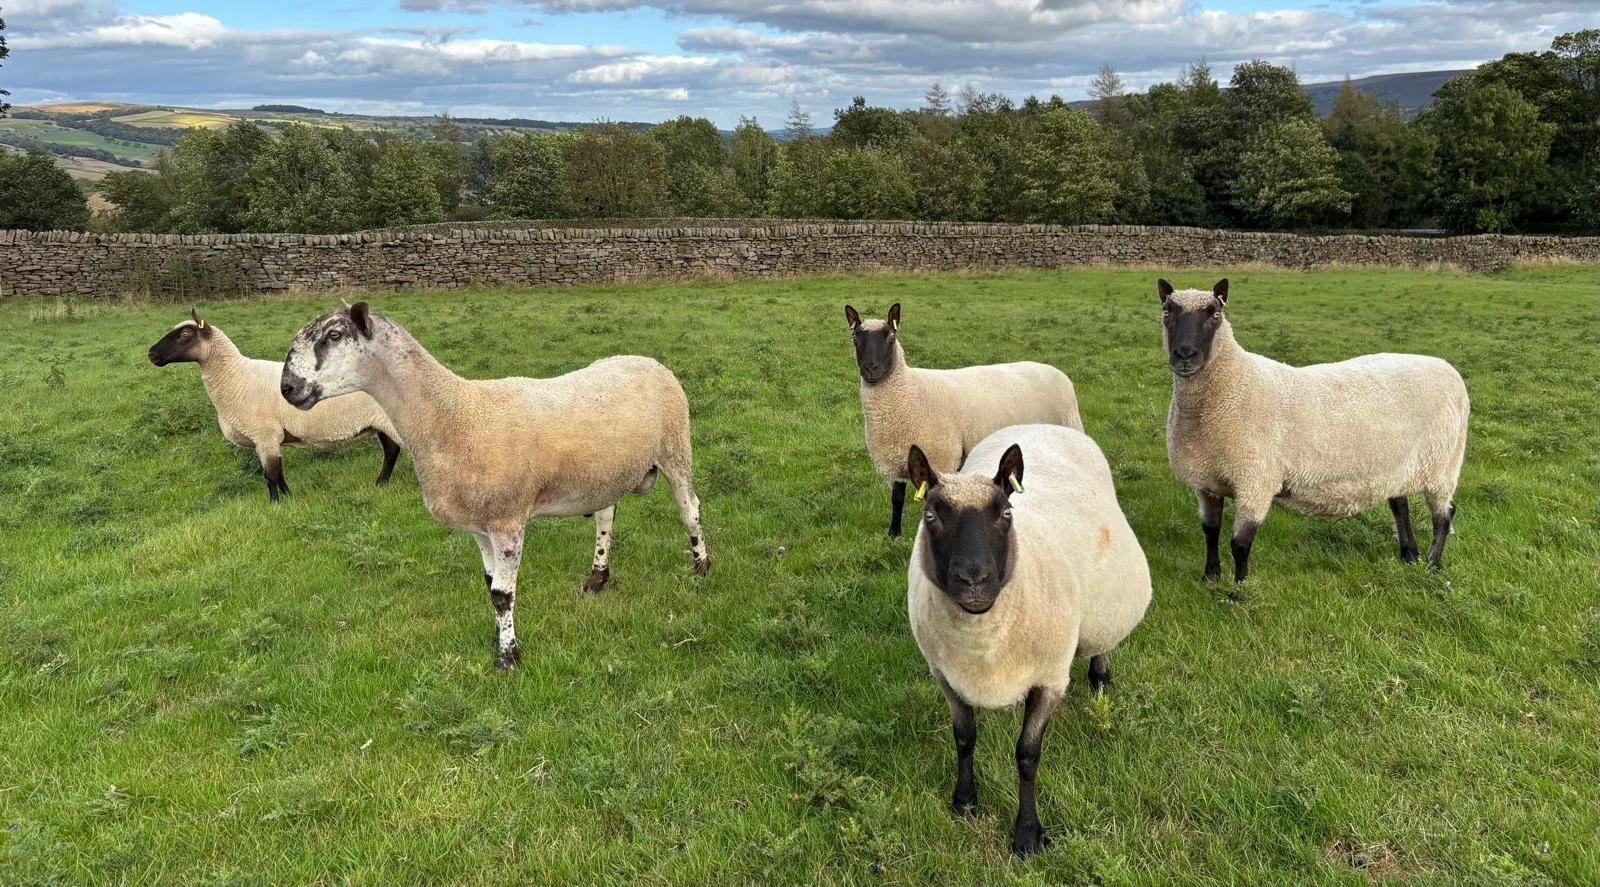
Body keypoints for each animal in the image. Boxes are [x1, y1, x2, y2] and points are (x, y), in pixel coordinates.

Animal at [147, 310, 402, 501]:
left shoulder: (265, 435)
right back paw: (381, 483)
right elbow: (278, 474)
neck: (236, 378)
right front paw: (287, 497)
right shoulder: (269, 438)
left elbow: (270, 476)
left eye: (185, 334)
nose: (151, 354)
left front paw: (274, 504)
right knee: (391, 450)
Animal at [278, 302, 710, 672]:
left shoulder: (506, 519)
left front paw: (507, 659)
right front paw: (499, 639)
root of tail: (649, 360)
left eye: (333, 335)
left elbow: (503, 592)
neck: (455, 415)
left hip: (675, 447)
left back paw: (701, 567)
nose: (287, 389)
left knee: (690, 507)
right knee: (606, 514)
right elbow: (491, 586)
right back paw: (597, 579)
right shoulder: (479, 526)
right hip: (604, 472)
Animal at [845, 302, 1083, 537]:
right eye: (855, 337)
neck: (909, 392)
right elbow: (897, 500)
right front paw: (893, 533)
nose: (871, 368)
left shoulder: (941, 459)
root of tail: (1058, 372)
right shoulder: (894, 460)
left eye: (891, 337)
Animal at [905, 423, 1151, 858]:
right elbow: (964, 737)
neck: (982, 643)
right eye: (930, 515)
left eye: (1006, 513)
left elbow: (1027, 755)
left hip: (1103, 604)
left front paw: (1027, 834)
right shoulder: (945, 675)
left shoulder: (1049, 680)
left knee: (1101, 640)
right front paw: (964, 801)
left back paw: (1100, 676)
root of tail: (1042, 425)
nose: (974, 580)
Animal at [1161, 278, 1470, 581]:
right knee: (1401, 506)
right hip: (1398, 464)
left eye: (1215, 313)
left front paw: (1240, 588)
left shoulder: (1255, 481)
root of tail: (1447, 367)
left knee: (1444, 514)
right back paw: (1409, 555)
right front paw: (1210, 578)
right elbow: (1210, 531)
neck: (1232, 385)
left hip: (1443, 462)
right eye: (1167, 312)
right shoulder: (1206, 481)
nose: (1185, 355)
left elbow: (1240, 545)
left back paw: (1432, 565)